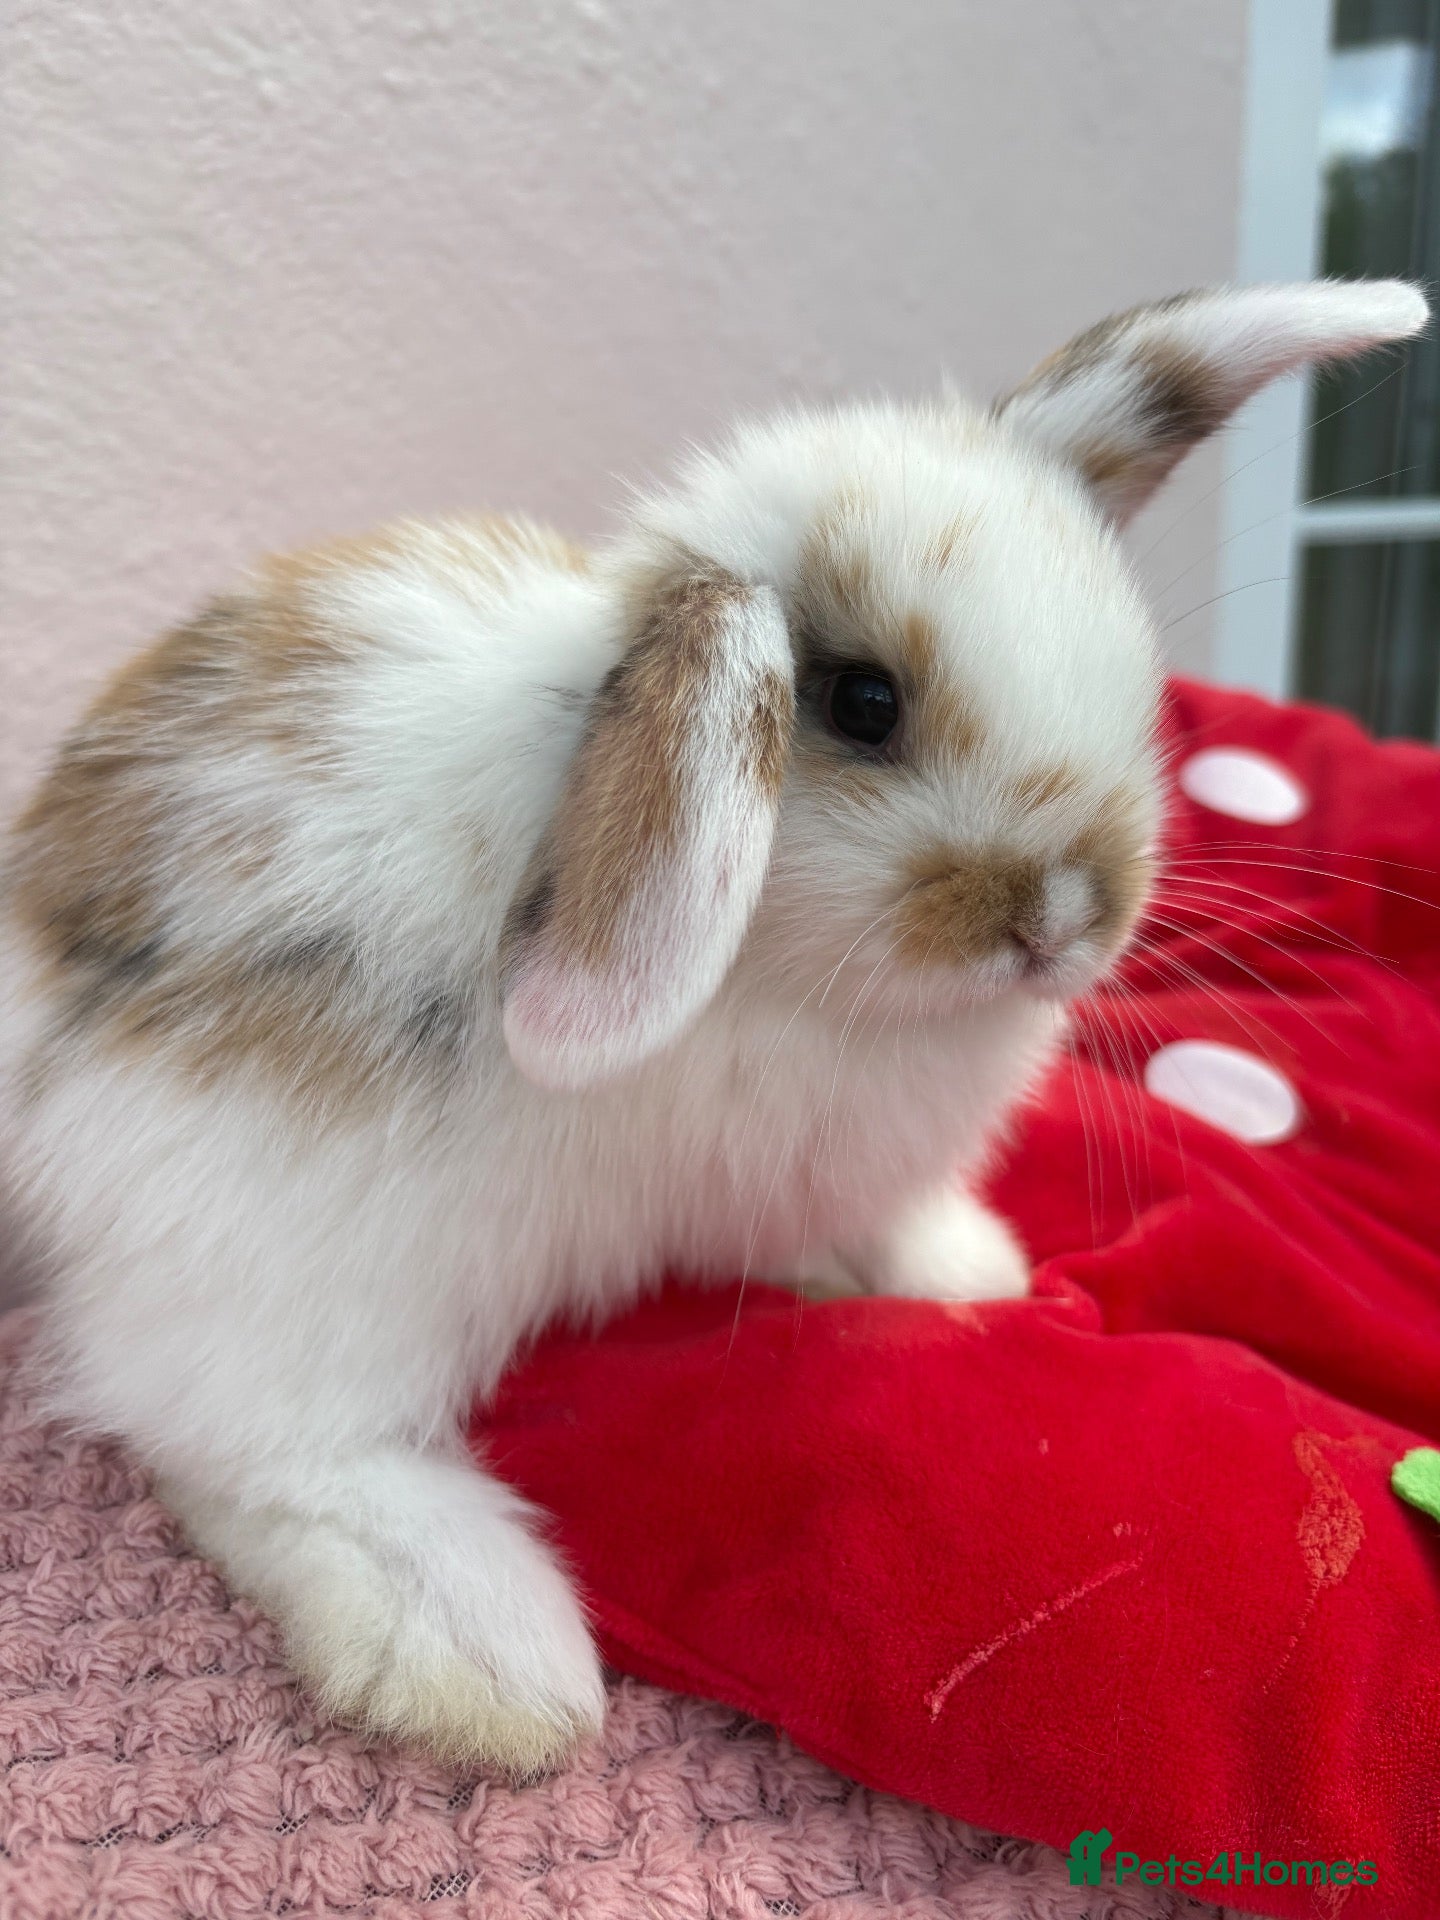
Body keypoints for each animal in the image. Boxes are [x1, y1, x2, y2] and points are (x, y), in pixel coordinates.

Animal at [0, 279, 1425, 1775]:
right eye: (863, 702)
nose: (1064, 917)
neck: (786, 974)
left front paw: (964, 1278)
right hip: (303, 1250)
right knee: (243, 1444)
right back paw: (487, 1662)